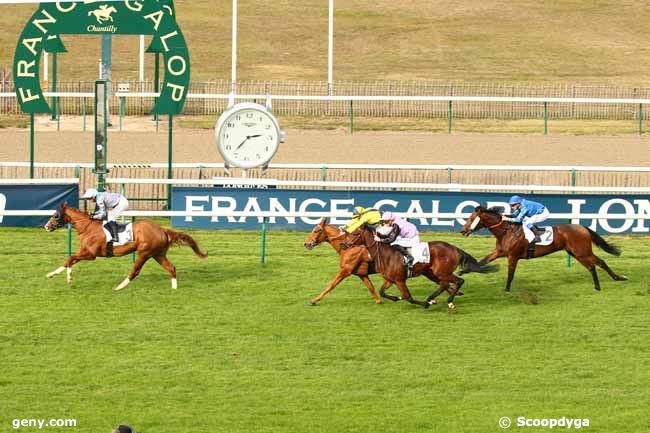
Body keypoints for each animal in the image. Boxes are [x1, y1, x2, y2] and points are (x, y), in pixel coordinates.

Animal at [44, 202, 206, 290]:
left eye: (55, 215)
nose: (47, 226)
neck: (88, 227)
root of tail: (162, 229)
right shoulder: (84, 251)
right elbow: (68, 260)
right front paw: (51, 274)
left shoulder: (91, 254)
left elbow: (71, 258)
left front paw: (69, 278)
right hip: (158, 254)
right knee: (171, 268)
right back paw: (174, 288)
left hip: (144, 253)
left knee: (135, 271)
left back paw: (119, 287)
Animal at [350, 223, 496, 308]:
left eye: (355, 233)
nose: (345, 244)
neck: (386, 254)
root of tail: (455, 249)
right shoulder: (390, 279)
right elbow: (382, 292)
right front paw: (396, 297)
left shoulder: (400, 280)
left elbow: (408, 297)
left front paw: (424, 304)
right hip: (433, 273)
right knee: (445, 284)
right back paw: (435, 298)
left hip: (442, 272)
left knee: (458, 281)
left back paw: (445, 300)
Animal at [458, 205, 624, 292]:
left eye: (471, 219)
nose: (462, 230)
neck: (506, 231)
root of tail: (582, 227)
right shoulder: (499, 252)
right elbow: (482, 261)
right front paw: (463, 270)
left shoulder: (513, 256)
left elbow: (510, 274)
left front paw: (507, 289)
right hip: (577, 252)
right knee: (599, 262)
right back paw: (617, 278)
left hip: (581, 252)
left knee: (592, 266)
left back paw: (599, 285)